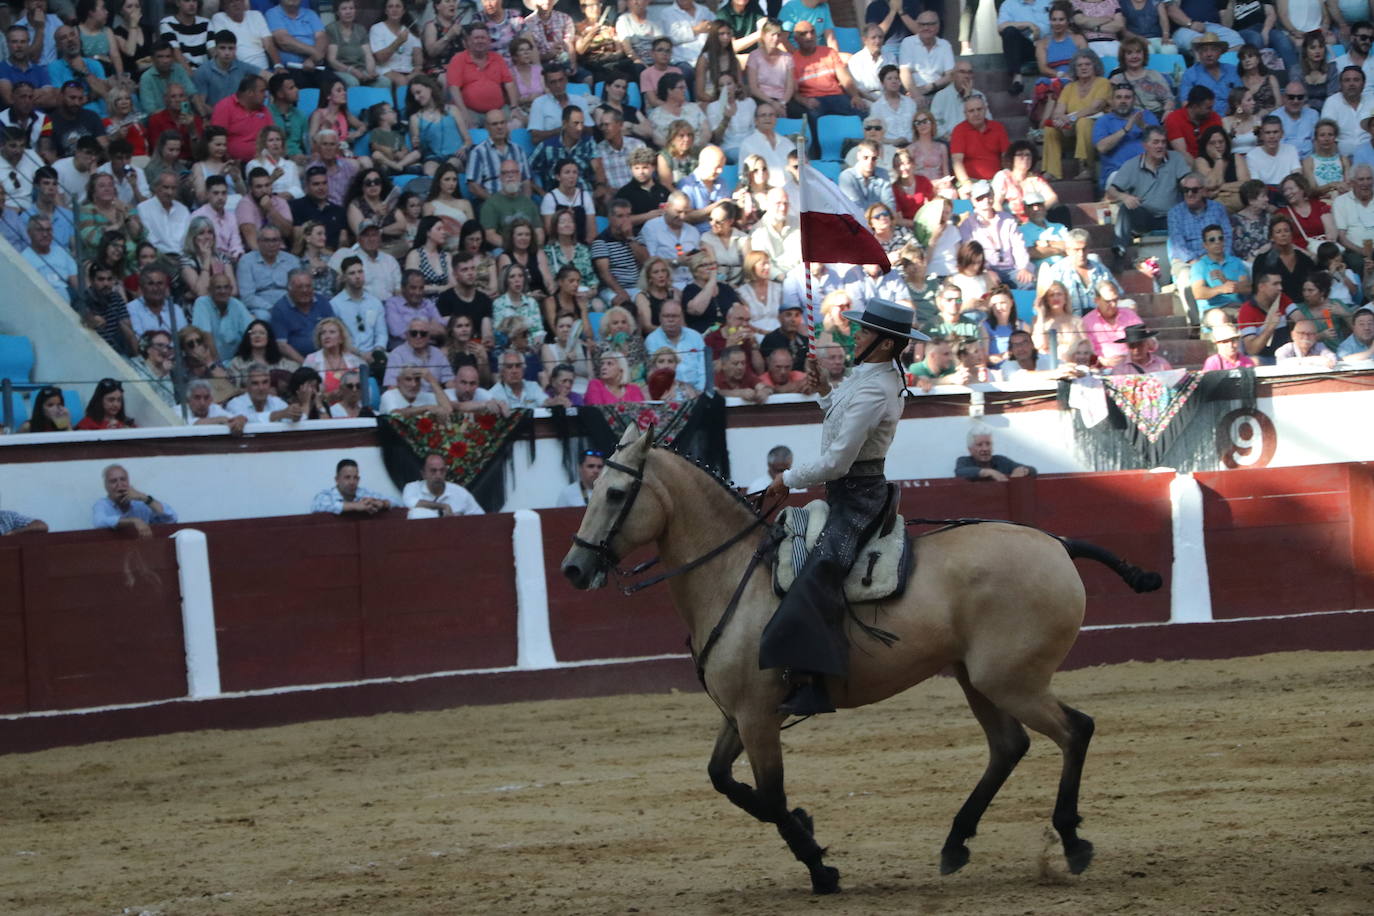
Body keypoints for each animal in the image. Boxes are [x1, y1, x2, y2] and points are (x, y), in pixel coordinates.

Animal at [557, 425, 1159, 889]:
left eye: (616, 493)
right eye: (592, 487)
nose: (572, 570)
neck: (732, 574)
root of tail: (1057, 544)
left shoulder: (757, 717)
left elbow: (770, 794)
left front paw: (821, 868)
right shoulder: (740, 713)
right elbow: (723, 779)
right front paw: (808, 826)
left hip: (1013, 680)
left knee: (1075, 730)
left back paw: (1072, 841)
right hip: (977, 679)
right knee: (1009, 747)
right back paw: (955, 843)